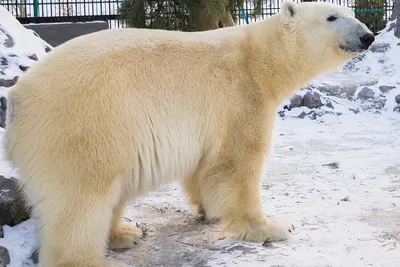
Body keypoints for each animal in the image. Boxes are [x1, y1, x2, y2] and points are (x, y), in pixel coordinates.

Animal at [3, 1, 374, 266]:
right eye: (331, 17)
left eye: (353, 13)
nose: (367, 35)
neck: (259, 60)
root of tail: (17, 101)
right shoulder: (240, 97)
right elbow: (237, 164)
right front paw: (274, 227)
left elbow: (205, 169)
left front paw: (207, 209)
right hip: (84, 124)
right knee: (81, 199)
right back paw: (93, 259)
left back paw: (125, 233)